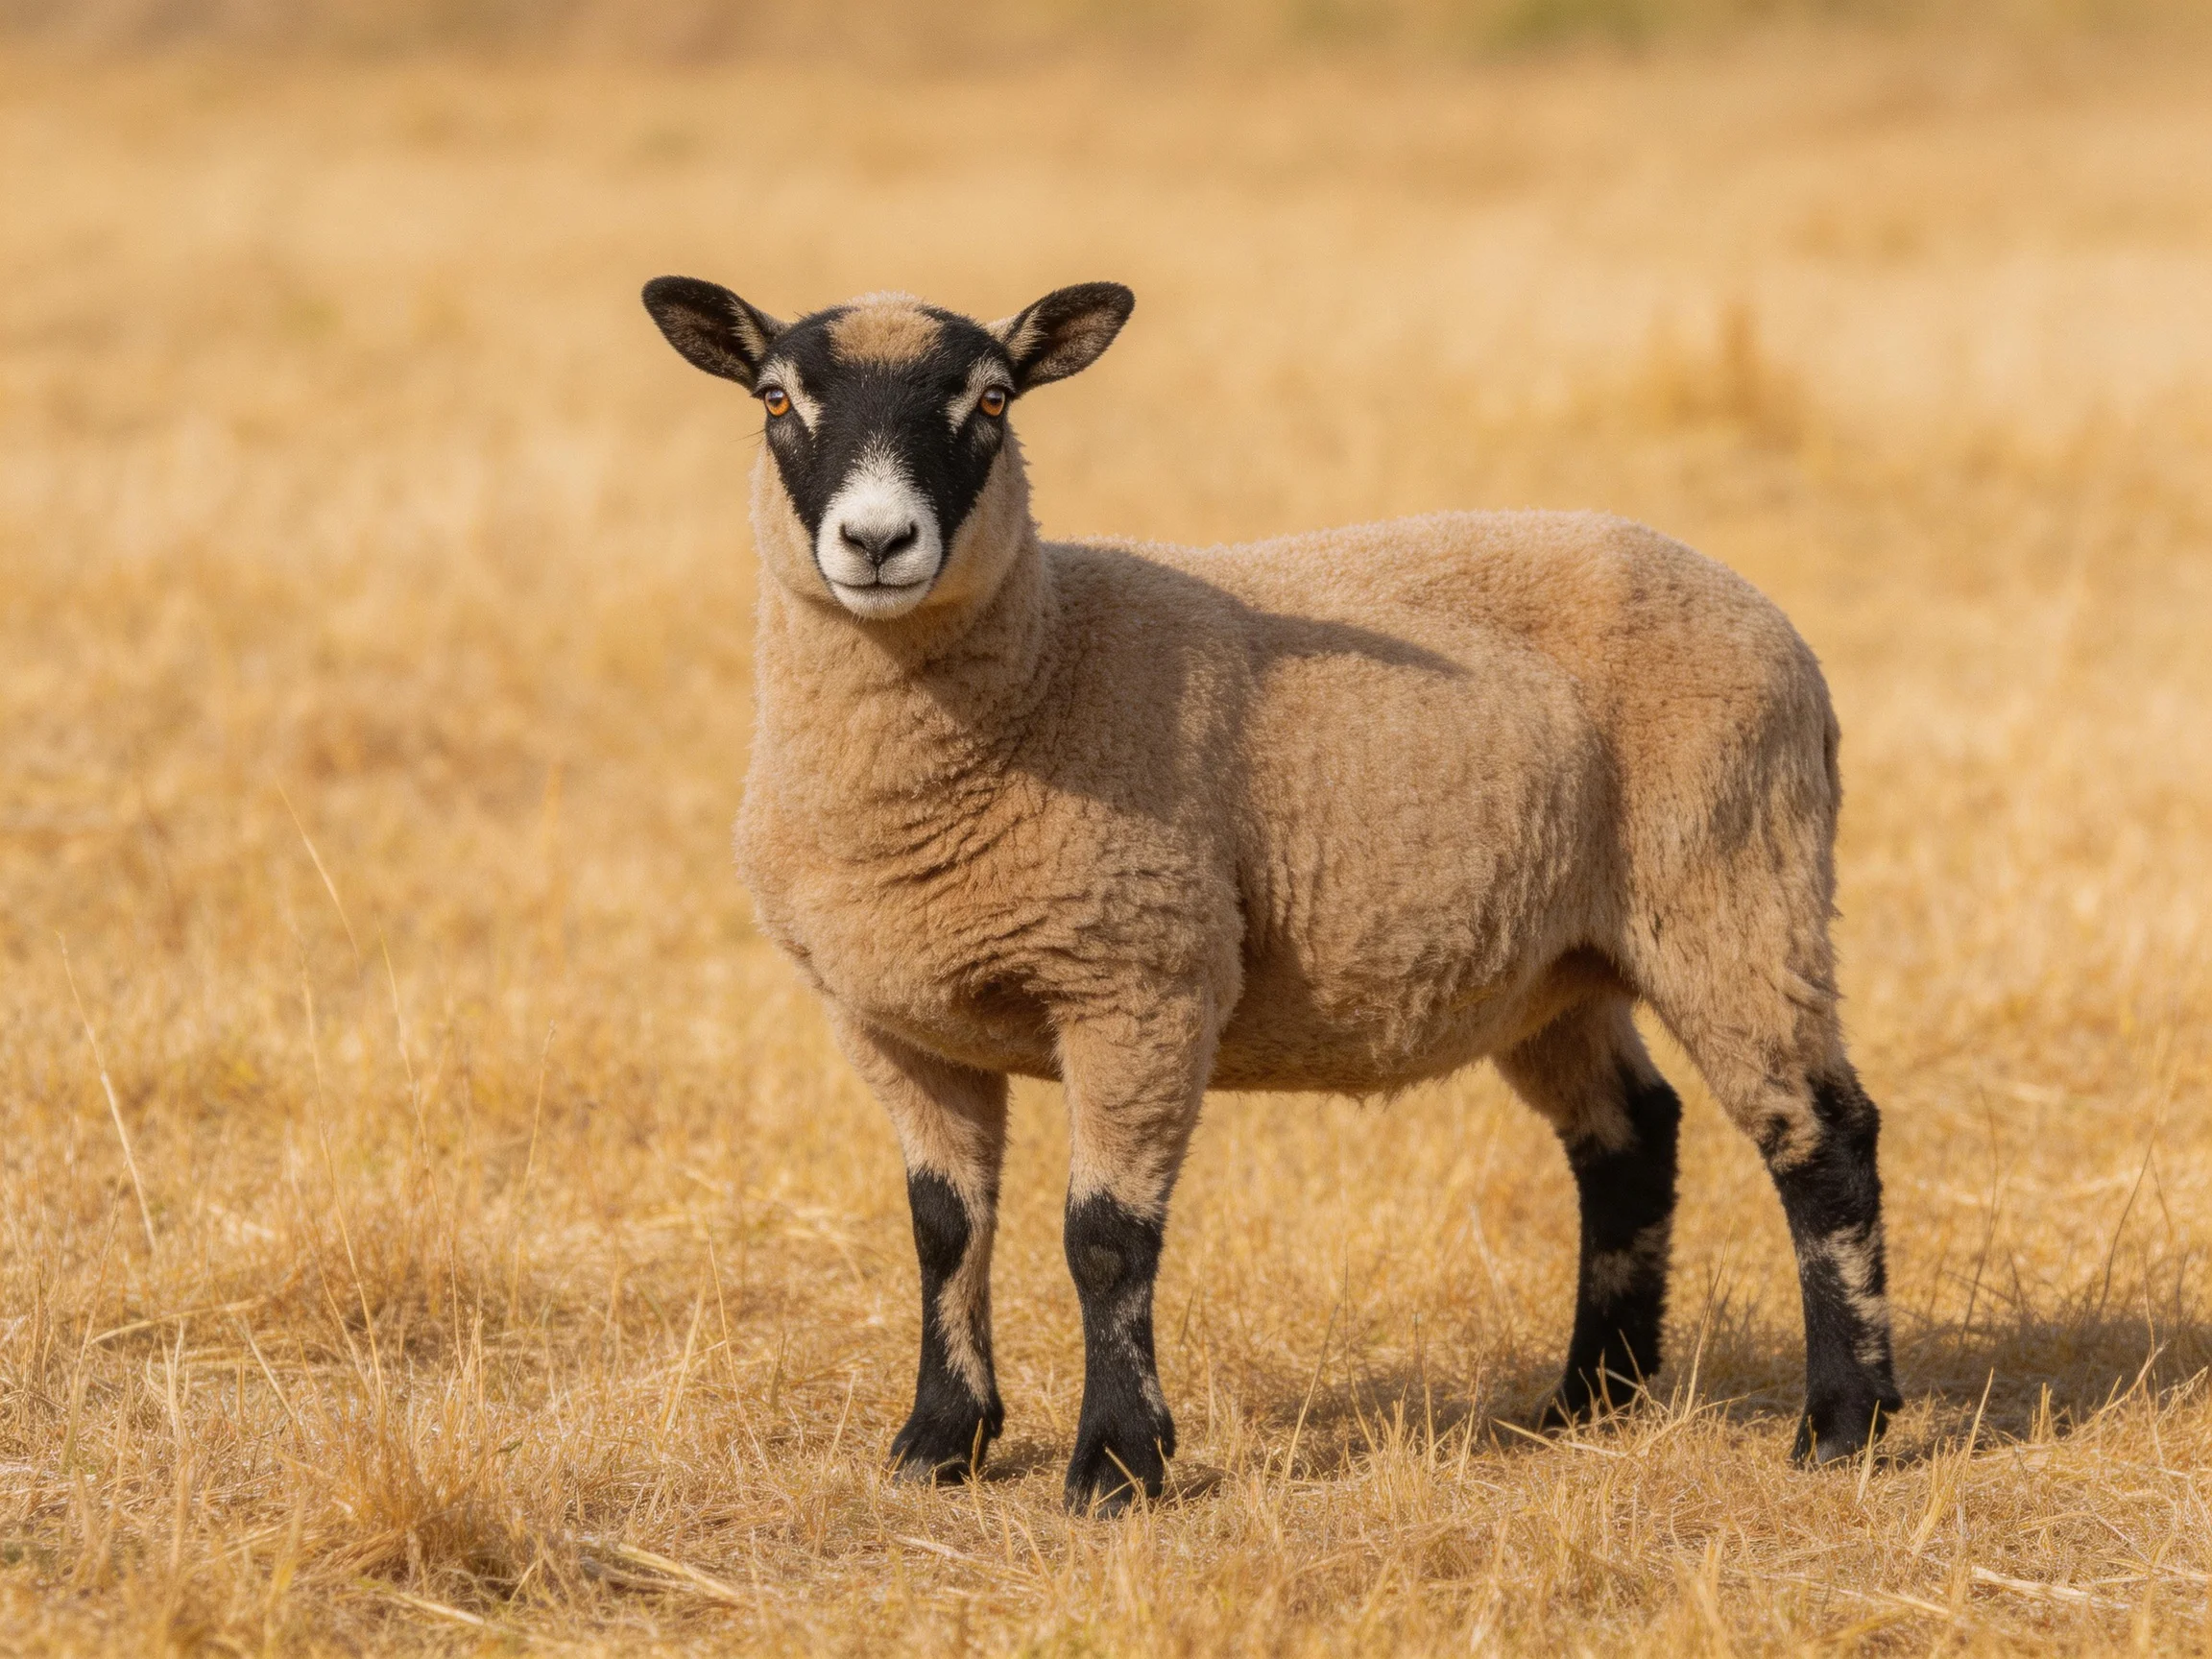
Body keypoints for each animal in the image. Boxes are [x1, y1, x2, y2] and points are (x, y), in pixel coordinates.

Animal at [640, 275, 1904, 1514]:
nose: (877, 539)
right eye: (774, 399)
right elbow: (945, 1230)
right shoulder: (890, 1020)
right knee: (1632, 1137)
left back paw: (1846, 1424)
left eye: (992, 401)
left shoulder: (1141, 978)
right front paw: (937, 1445)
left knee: (1821, 1137)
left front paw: (1117, 1466)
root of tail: (1764, 613)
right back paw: (1591, 1402)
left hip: (1735, 877)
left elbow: (1105, 1239)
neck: (1047, 657)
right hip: (1557, 962)